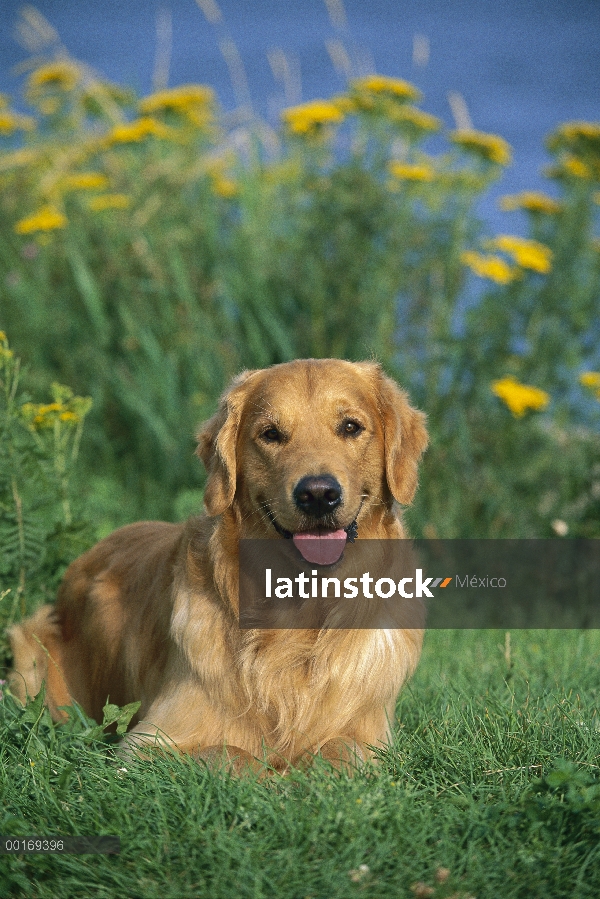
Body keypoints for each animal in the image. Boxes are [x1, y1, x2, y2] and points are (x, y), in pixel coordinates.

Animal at [9, 358, 428, 772]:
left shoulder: (371, 732)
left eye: (351, 427)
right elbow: (234, 755)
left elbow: (343, 750)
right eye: (271, 434)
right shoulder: (148, 743)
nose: (318, 495)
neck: (300, 617)